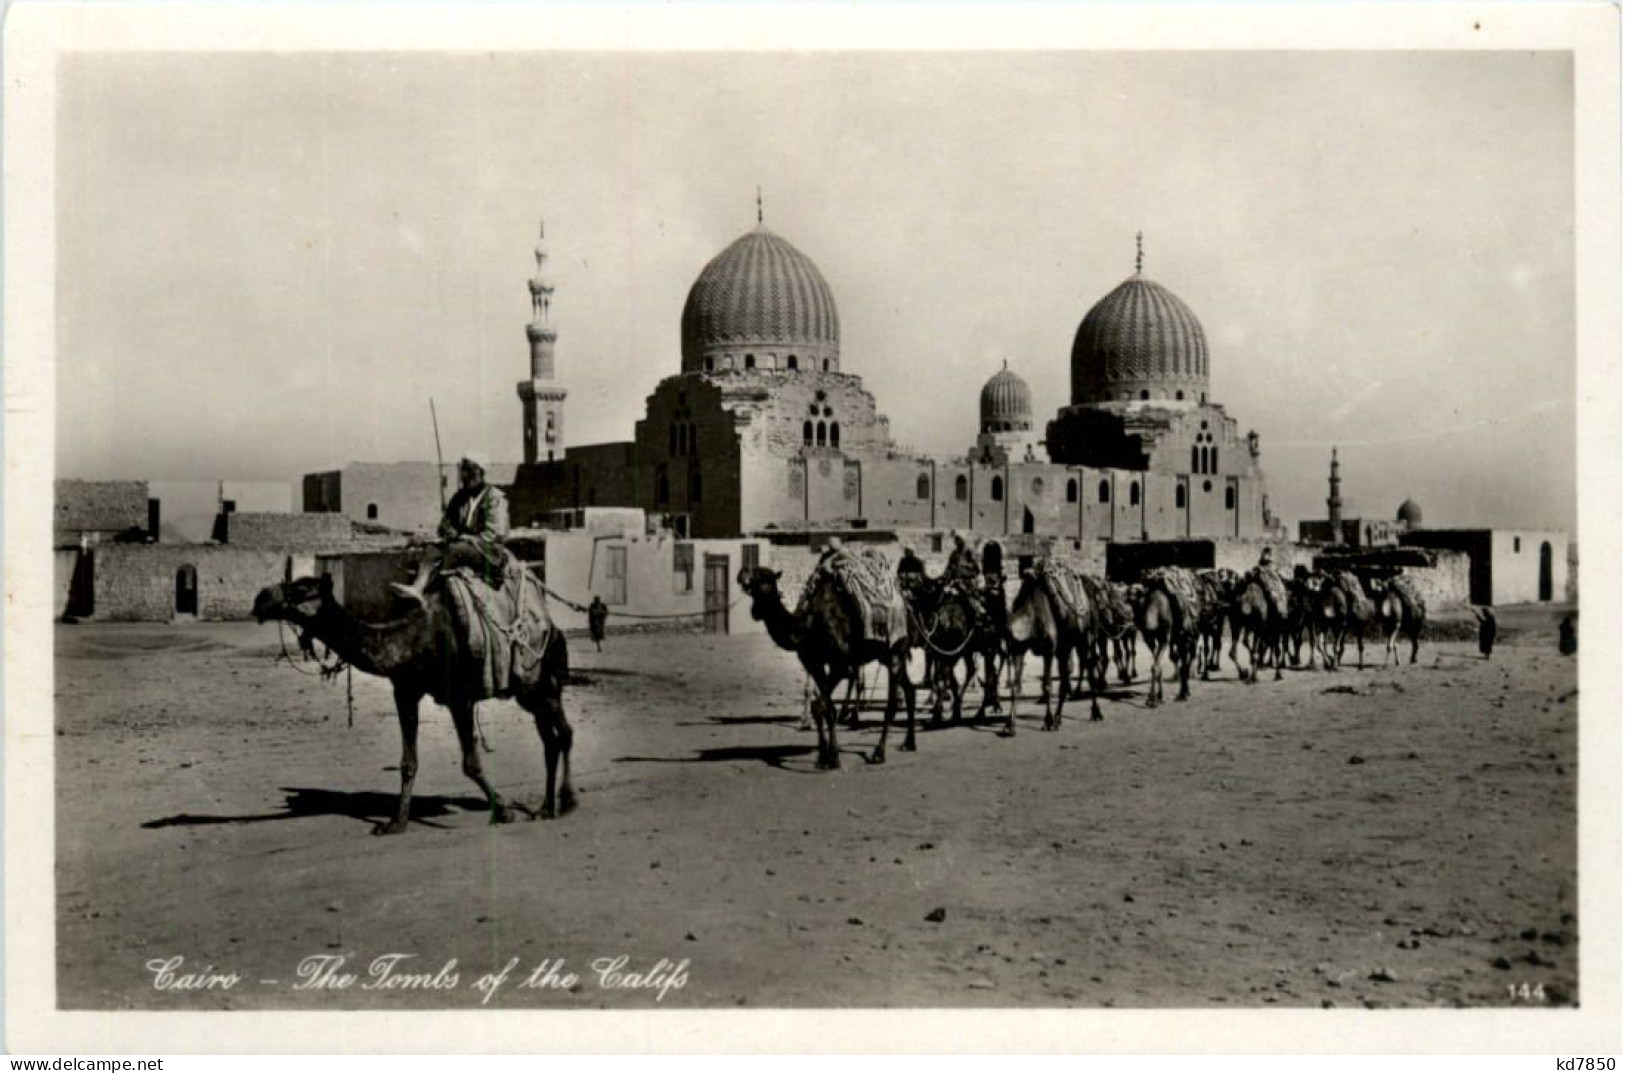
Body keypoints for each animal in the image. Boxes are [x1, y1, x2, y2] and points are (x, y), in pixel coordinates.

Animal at [250, 575, 575, 832]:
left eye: (302, 588)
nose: (260, 598)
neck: (409, 642)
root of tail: (554, 628)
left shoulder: (459, 697)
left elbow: (470, 763)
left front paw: (505, 812)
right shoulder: (405, 690)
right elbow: (408, 762)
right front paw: (396, 823)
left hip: (545, 682)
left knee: (565, 734)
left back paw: (567, 803)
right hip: (529, 694)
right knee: (550, 741)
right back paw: (545, 808)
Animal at [737, 565, 916, 767]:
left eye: (767, 583)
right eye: (751, 585)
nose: (755, 612)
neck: (808, 627)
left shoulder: (841, 664)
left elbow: (821, 704)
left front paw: (832, 757)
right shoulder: (815, 663)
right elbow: (824, 707)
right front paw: (826, 756)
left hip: (895, 650)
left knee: (892, 703)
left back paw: (879, 753)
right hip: (887, 655)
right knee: (910, 690)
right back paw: (909, 743)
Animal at [1001, 556, 1105, 734]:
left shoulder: (1048, 649)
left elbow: (1047, 685)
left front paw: (1047, 721)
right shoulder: (1018, 648)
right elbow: (1016, 686)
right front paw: (1009, 725)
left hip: (1084, 638)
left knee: (1089, 669)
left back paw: (1095, 712)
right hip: (1065, 646)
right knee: (1065, 678)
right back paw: (1058, 720)